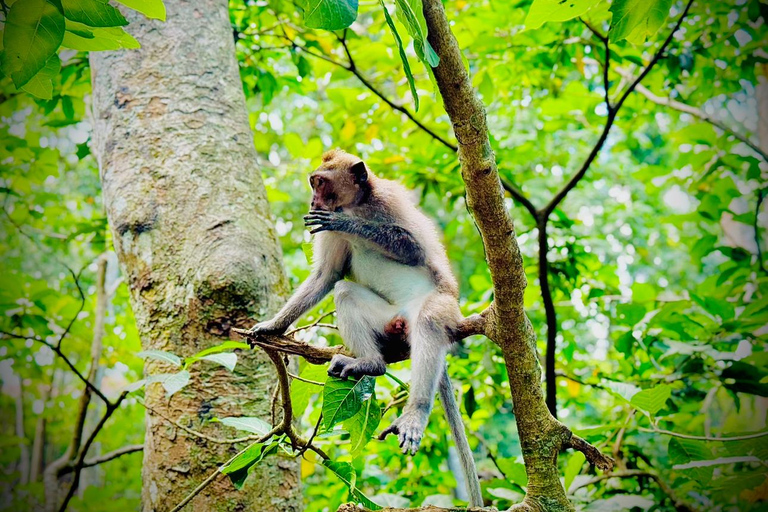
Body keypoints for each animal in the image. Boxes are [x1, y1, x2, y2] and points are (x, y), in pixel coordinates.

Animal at [248, 149, 482, 507]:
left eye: (320, 183)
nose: (313, 200)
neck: (356, 203)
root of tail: (404, 318)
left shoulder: (388, 201)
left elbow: (412, 247)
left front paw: (349, 225)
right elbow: (328, 276)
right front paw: (273, 326)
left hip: (443, 307)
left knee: (429, 321)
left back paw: (414, 411)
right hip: (387, 320)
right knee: (345, 292)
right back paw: (370, 363)